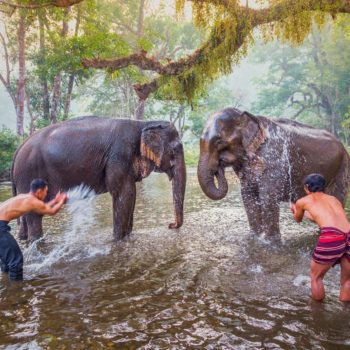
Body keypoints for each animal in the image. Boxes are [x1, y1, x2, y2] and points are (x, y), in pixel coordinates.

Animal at [11, 117, 186, 241]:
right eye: (174, 150)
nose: (170, 225)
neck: (143, 123)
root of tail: (19, 147)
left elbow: (131, 195)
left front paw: (128, 237)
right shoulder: (119, 156)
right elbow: (124, 194)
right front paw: (118, 240)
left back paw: (24, 239)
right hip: (29, 173)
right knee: (34, 215)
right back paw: (36, 242)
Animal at [198, 108, 348, 237]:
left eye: (219, 142)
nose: (219, 166)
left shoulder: (273, 159)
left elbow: (268, 197)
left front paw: (270, 240)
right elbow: (248, 197)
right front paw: (256, 237)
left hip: (342, 168)